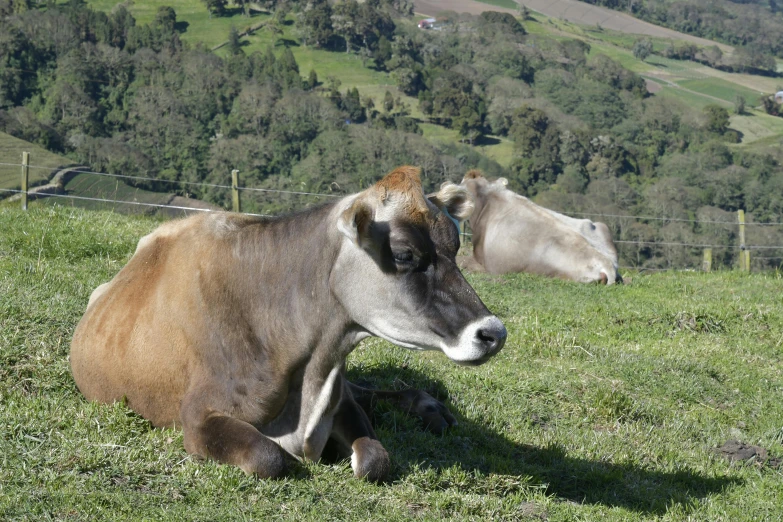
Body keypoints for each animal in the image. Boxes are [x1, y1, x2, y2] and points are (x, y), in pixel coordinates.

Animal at [70, 166, 506, 480]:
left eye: (455, 245)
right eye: (403, 254)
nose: (494, 333)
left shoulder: (339, 397)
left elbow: (374, 462)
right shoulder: (195, 416)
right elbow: (270, 457)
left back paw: (430, 407)